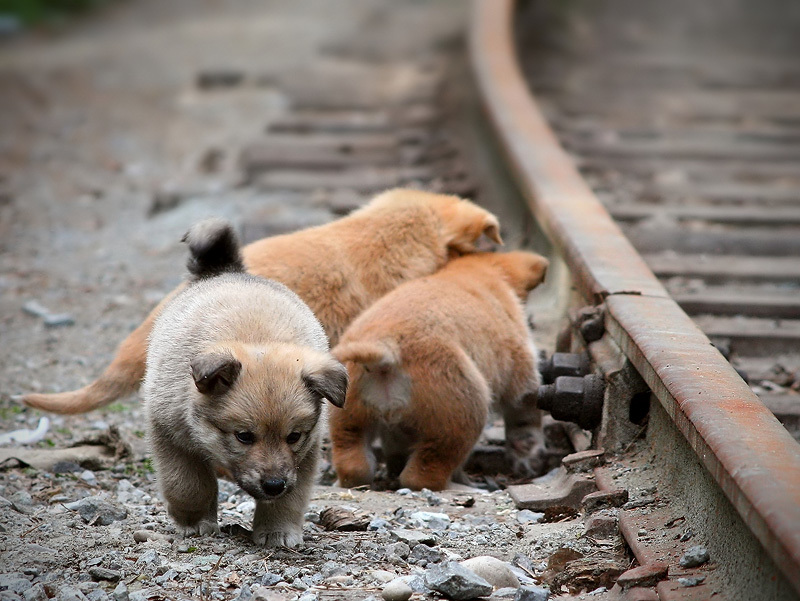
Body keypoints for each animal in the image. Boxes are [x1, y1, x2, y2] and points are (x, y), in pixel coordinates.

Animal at [143, 218, 346, 548]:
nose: (274, 484)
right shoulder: (169, 433)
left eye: (293, 436)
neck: (256, 340)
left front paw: (277, 530)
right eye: (244, 436)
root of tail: (227, 271)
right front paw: (194, 520)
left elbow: (290, 499)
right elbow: (187, 483)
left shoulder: (307, 452)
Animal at [328, 251, 548, 490]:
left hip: (350, 409)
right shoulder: (520, 366)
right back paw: (462, 485)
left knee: (354, 457)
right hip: (459, 408)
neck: (476, 271)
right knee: (428, 468)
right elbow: (524, 410)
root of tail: (384, 348)